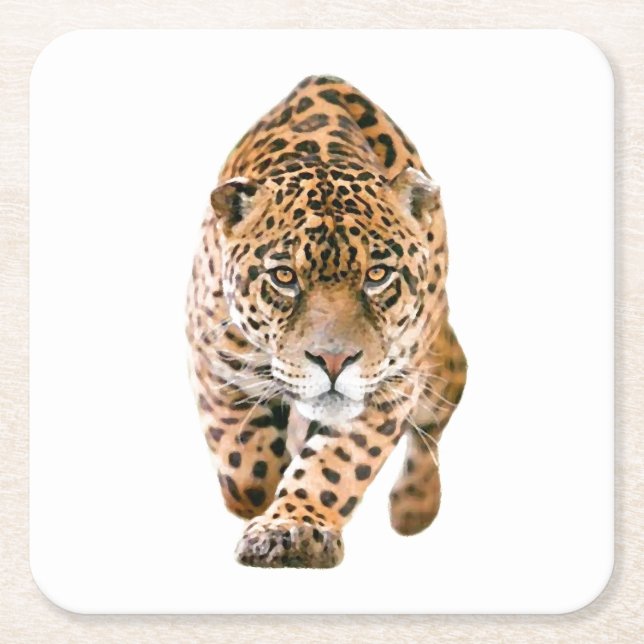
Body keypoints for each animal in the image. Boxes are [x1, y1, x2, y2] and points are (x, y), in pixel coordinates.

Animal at [186, 75, 467, 568]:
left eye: (377, 275)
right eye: (284, 277)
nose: (334, 362)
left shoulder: (389, 387)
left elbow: (335, 465)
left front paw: (294, 528)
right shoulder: (215, 362)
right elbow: (246, 471)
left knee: (441, 408)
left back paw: (414, 506)